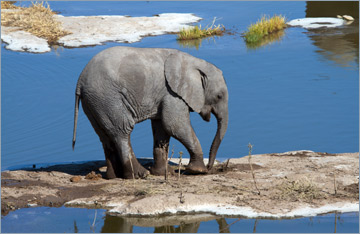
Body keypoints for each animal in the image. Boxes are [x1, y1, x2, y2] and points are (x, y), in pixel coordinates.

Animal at [72, 46, 229, 179]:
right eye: (219, 96)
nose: (210, 168)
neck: (195, 63)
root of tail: (80, 81)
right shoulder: (172, 93)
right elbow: (174, 125)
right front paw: (197, 171)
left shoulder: (164, 96)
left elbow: (162, 129)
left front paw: (164, 173)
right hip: (107, 98)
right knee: (122, 131)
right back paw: (139, 175)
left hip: (94, 103)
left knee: (104, 136)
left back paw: (113, 176)